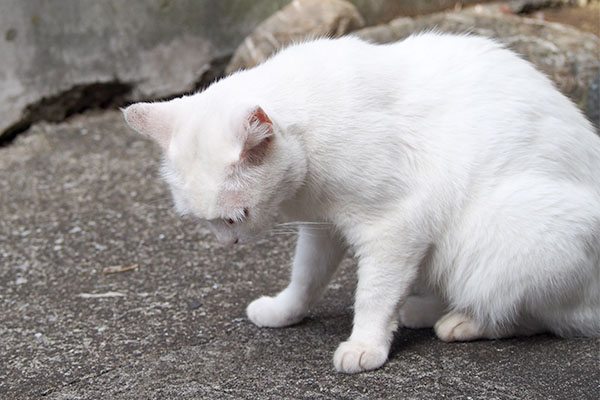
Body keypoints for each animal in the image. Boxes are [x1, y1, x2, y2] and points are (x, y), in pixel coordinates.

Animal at [124, 32, 600, 374]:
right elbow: (306, 278)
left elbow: (373, 294)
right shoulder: (323, 229)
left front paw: (365, 345)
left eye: (234, 217)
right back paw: (424, 309)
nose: (230, 245)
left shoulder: (394, 226)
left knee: (538, 314)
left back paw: (464, 321)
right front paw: (284, 310)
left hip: (514, 230)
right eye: (203, 222)